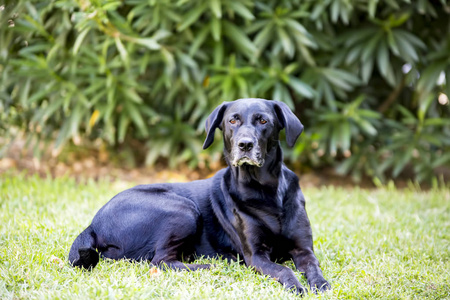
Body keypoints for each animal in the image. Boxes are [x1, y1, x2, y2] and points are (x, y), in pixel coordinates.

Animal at [69, 99, 330, 296]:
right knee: (161, 261)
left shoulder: (303, 249)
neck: (263, 190)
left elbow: (313, 266)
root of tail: (93, 224)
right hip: (183, 209)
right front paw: (296, 286)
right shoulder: (256, 256)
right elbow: (284, 270)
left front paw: (320, 284)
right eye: (232, 120)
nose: (245, 144)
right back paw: (210, 265)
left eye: (263, 120)